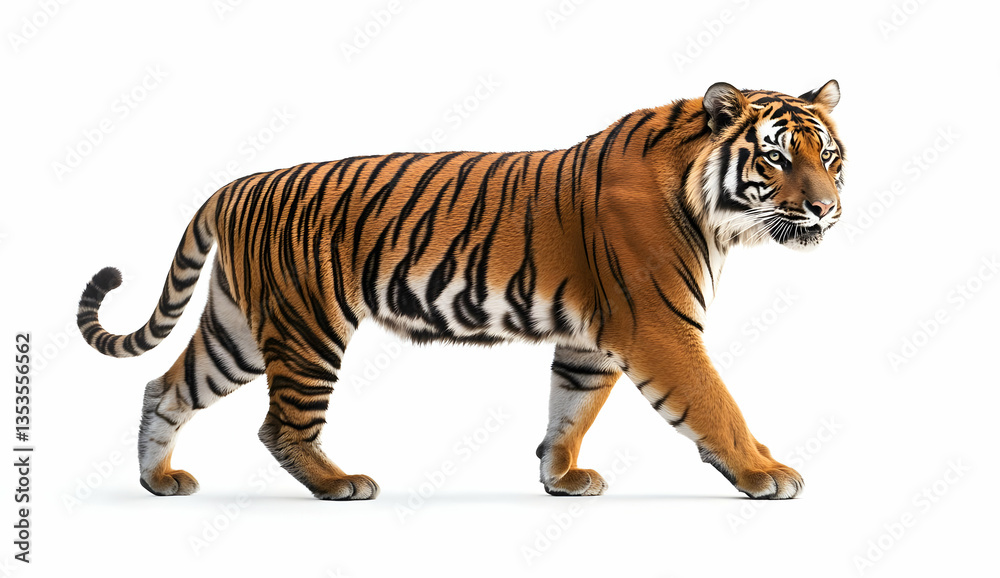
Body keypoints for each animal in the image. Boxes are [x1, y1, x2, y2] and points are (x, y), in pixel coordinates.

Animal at [77, 80, 844, 501]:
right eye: (777, 158)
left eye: (829, 155)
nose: (827, 209)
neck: (713, 212)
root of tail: (238, 184)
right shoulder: (659, 328)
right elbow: (718, 406)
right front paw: (765, 472)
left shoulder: (592, 343)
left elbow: (570, 410)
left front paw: (559, 478)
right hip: (307, 328)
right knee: (279, 425)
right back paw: (337, 484)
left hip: (237, 329)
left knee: (164, 388)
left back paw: (157, 481)